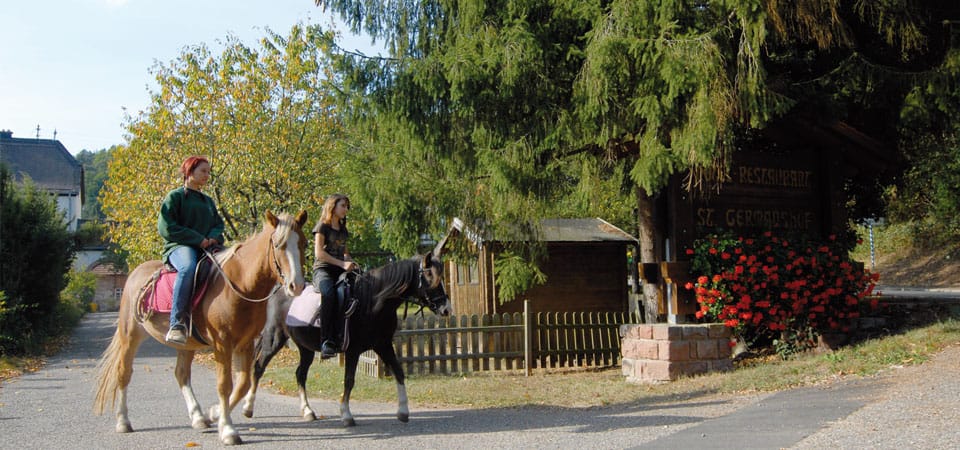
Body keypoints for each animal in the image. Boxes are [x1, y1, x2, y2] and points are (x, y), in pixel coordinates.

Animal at [92, 209, 306, 444]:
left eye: (303, 243)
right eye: (278, 245)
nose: (297, 286)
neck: (238, 285)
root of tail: (136, 274)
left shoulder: (245, 343)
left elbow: (242, 384)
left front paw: (215, 414)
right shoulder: (222, 343)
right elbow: (225, 384)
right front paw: (228, 430)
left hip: (186, 344)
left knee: (181, 374)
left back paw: (198, 417)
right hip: (129, 336)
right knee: (124, 373)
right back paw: (123, 421)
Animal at [238, 253, 452, 426]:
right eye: (430, 276)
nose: (446, 309)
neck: (372, 301)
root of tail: (278, 290)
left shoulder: (383, 345)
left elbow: (399, 372)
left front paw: (403, 411)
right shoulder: (353, 350)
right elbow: (349, 380)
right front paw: (346, 415)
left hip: (305, 348)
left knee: (300, 374)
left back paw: (307, 411)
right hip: (274, 338)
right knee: (258, 367)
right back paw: (248, 408)